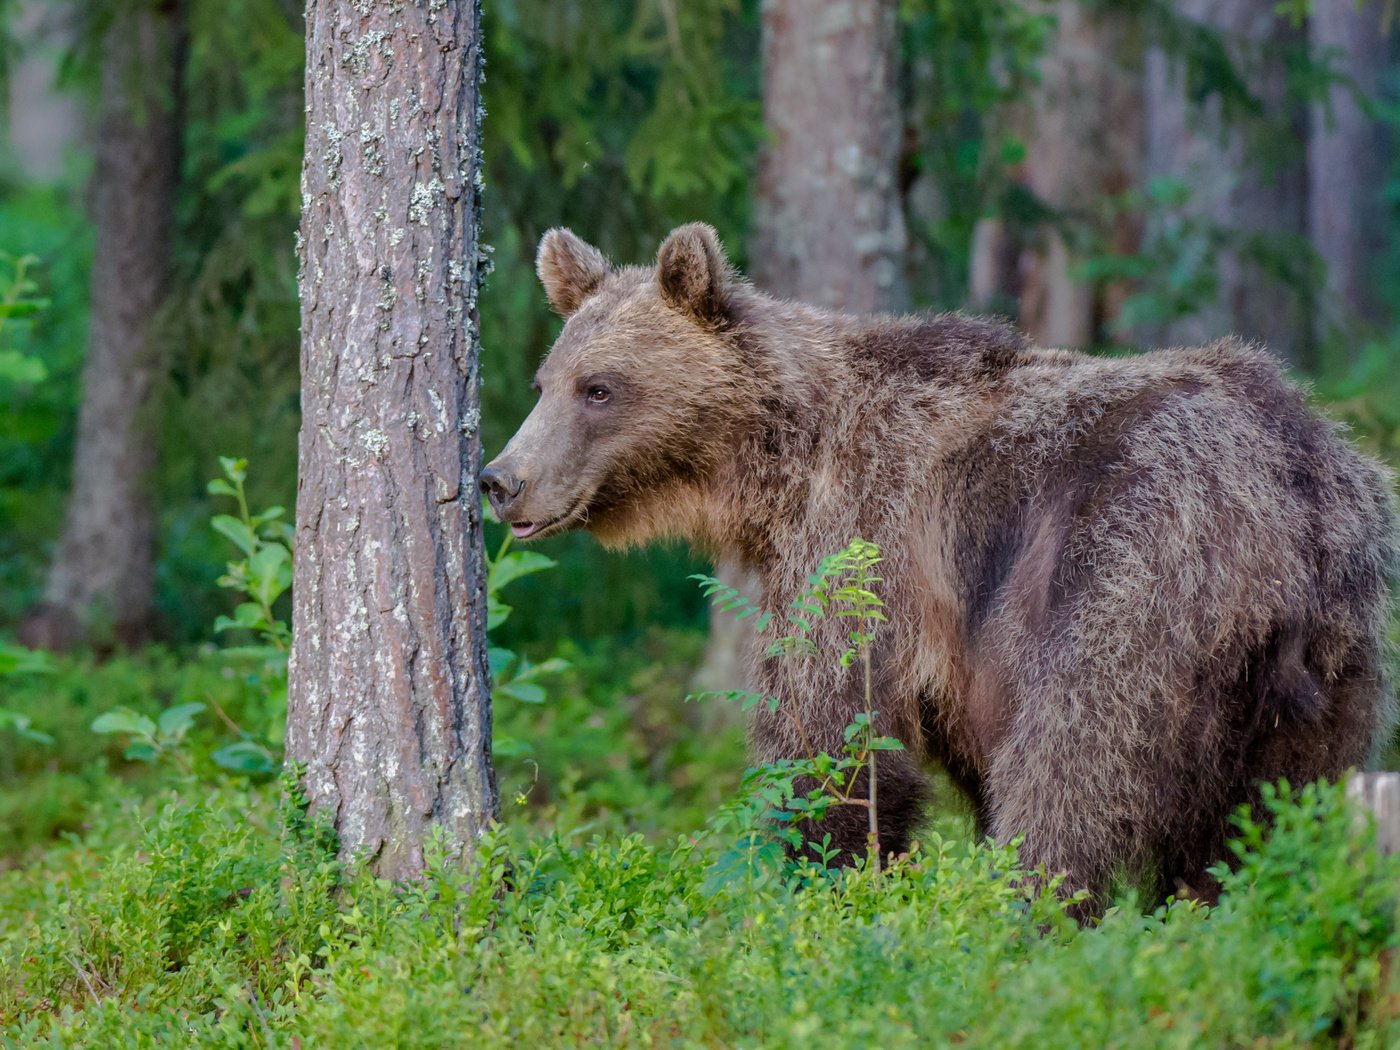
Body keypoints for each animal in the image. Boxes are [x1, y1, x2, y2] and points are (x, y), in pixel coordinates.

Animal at [484, 224, 1400, 912]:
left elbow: (830, 739)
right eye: (543, 380)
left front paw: (815, 885)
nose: (502, 478)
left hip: (1130, 576)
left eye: (599, 388)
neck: (778, 461)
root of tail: (1288, 487)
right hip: (1328, 662)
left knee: (1073, 772)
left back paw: (1027, 917)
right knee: (1273, 816)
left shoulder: (861, 543)